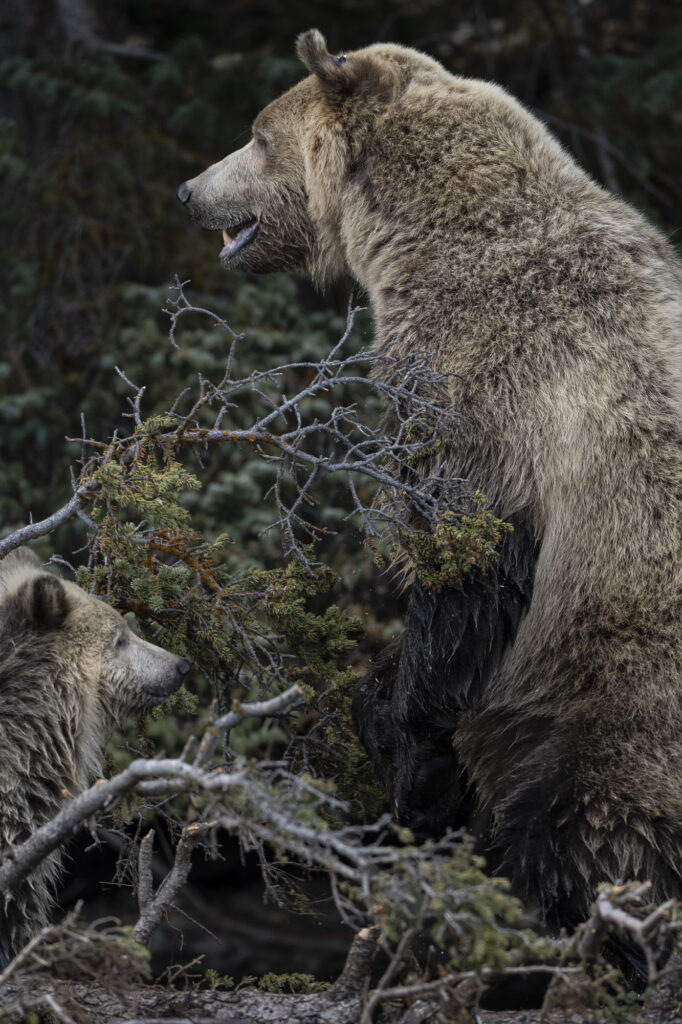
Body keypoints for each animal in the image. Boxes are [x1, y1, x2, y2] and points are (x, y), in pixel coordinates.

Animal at [177, 29, 682, 938]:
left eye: (257, 134)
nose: (189, 190)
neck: (409, 234)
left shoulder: (477, 384)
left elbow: (460, 574)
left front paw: (402, 734)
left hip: (609, 690)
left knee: (583, 827)